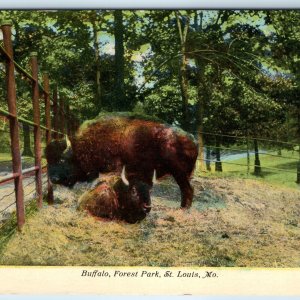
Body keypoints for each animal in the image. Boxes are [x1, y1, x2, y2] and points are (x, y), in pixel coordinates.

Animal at [45, 113, 199, 209]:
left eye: (62, 159)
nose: (53, 178)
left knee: (187, 189)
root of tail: (192, 138)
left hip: (179, 173)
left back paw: (183, 209)